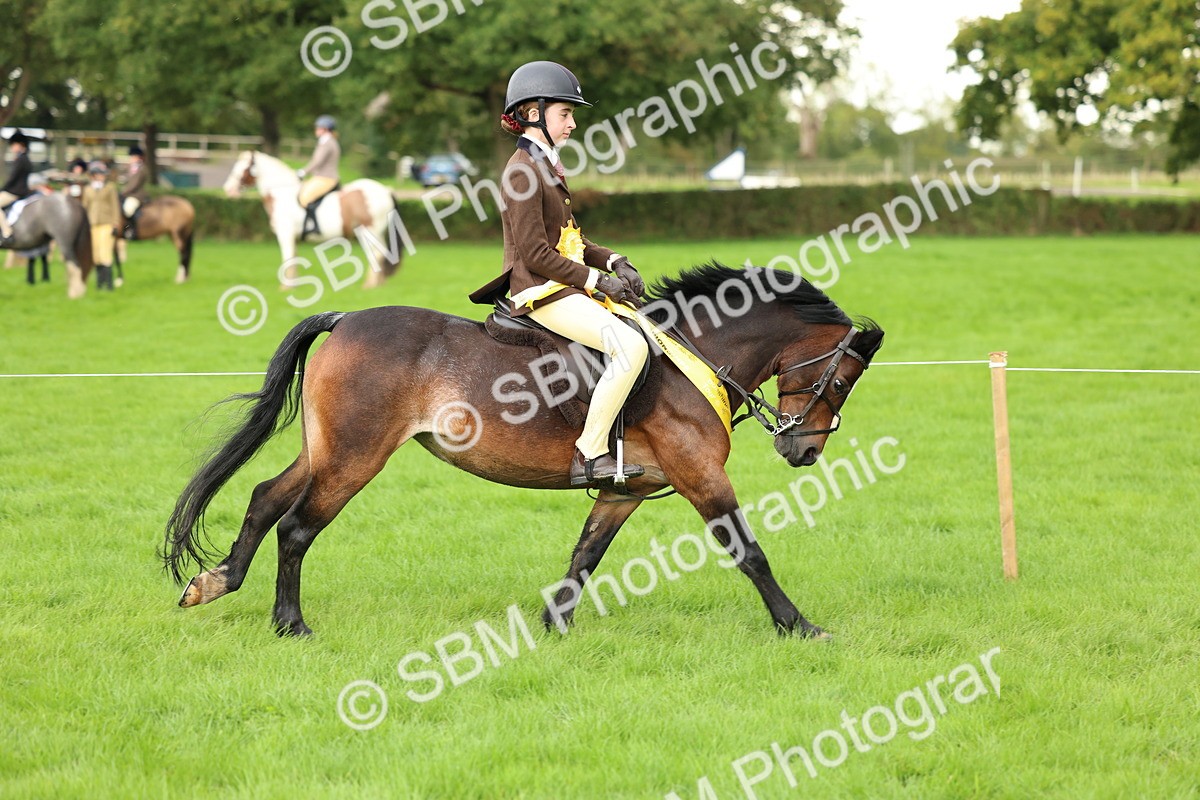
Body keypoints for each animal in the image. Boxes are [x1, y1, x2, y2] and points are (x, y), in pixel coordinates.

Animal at [162, 264, 885, 639]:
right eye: (840, 380)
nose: (805, 451)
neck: (695, 356)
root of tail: (346, 320)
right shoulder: (700, 476)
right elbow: (749, 552)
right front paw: (799, 626)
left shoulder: (626, 490)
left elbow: (586, 554)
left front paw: (552, 625)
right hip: (355, 457)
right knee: (296, 526)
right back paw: (291, 623)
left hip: (328, 450)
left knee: (265, 498)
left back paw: (215, 582)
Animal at [221, 151, 402, 289]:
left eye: (244, 168)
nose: (228, 189)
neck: (281, 193)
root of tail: (386, 190)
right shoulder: (292, 238)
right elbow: (293, 258)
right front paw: (293, 285)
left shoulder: (285, 234)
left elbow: (287, 258)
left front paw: (285, 288)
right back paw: (377, 284)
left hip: (370, 231)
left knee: (377, 255)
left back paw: (370, 285)